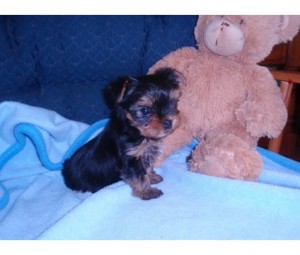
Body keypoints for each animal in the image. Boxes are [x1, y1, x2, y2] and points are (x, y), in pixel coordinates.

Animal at [62, 67, 182, 199]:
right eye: (145, 110)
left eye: (173, 102)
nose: (168, 122)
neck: (134, 130)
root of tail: (65, 170)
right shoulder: (131, 158)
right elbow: (139, 175)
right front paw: (147, 191)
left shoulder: (145, 153)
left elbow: (146, 168)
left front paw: (151, 177)